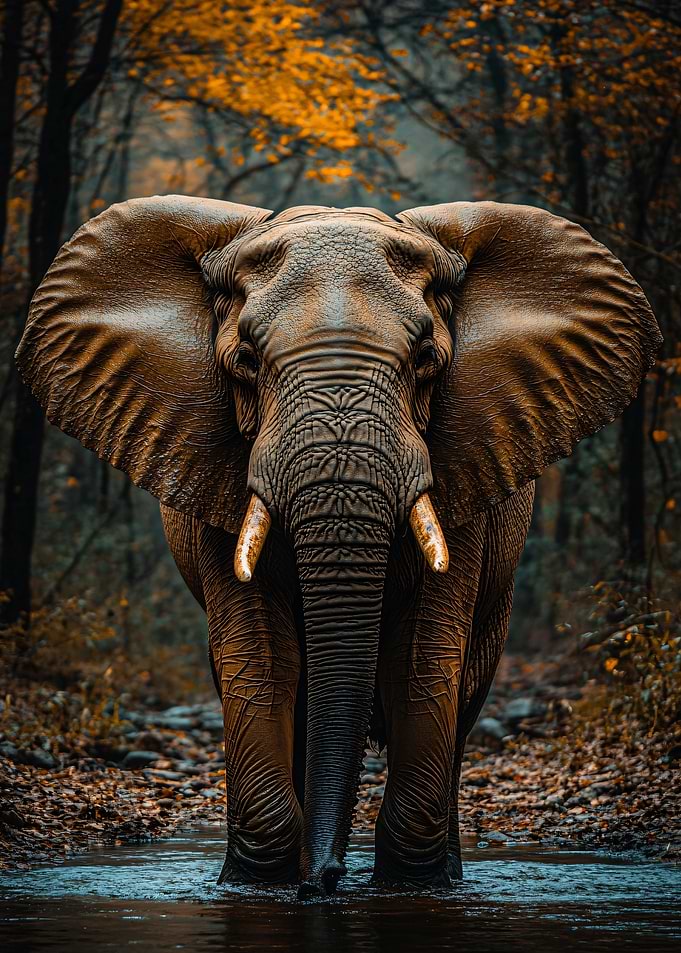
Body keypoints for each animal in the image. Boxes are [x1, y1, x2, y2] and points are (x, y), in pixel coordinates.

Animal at [16, 195, 661, 898]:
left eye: (427, 359)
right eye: (245, 361)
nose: (326, 880)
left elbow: (422, 661)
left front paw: (409, 887)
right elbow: (260, 661)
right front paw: (260, 885)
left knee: (465, 697)